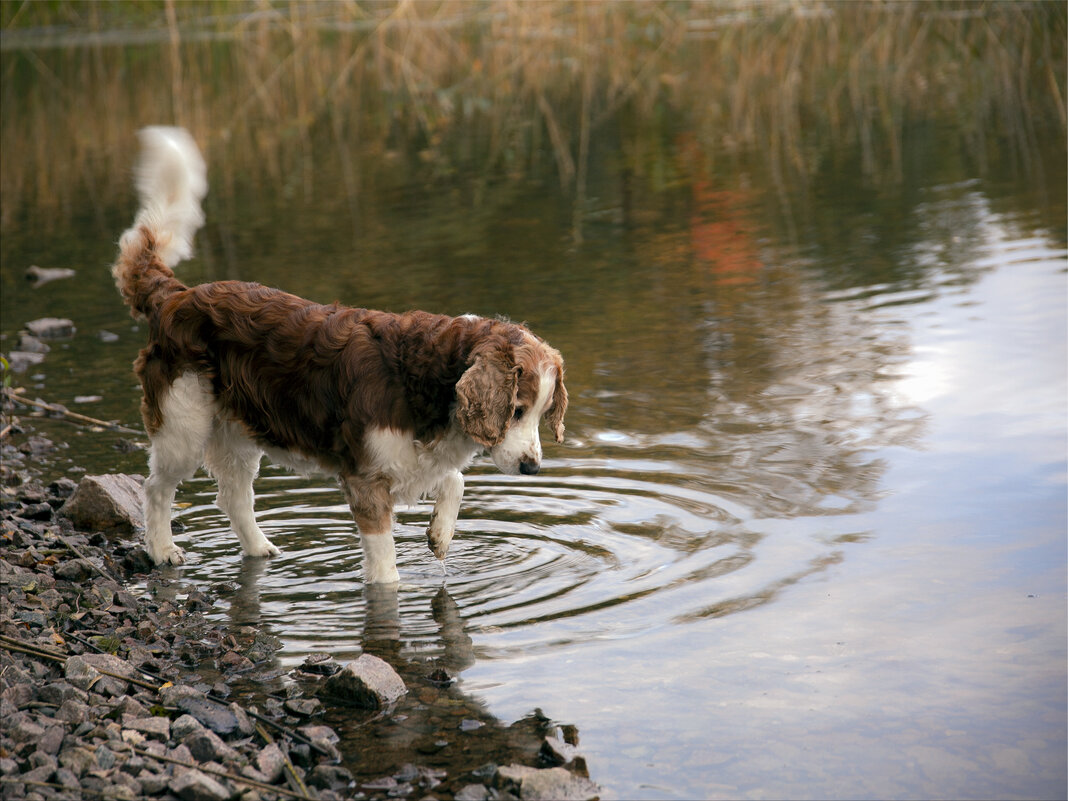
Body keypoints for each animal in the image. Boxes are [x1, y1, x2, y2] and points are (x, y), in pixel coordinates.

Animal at [112, 128, 568, 585]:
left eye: (542, 413)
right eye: (516, 410)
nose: (532, 468)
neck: (427, 376)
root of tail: (175, 296)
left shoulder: (416, 463)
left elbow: (454, 479)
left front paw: (440, 536)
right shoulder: (365, 481)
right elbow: (386, 568)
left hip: (237, 432)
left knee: (233, 496)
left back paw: (260, 550)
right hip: (184, 425)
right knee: (157, 487)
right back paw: (162, 549)